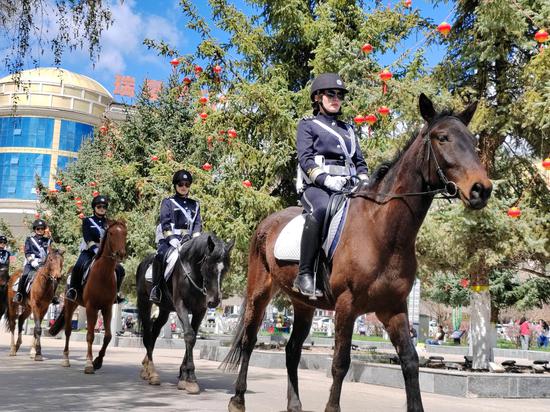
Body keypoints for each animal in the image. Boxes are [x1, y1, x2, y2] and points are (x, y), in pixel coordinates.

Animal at [48, 220, 127, 374]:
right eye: (111, 233)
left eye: (125, 233)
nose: (120, 253)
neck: (103, 274)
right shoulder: (92, 308)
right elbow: (90, 335)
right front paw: (89, 363)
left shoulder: (107, 308)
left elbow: (108, 336)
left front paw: (98, 361)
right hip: (70, 304)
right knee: (68, 331)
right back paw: (65, 359)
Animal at [138, 233, 235, 392]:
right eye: (209, 266)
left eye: (225, 269)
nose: (214, 301)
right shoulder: (181, 306)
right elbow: (189, 335)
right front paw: (190, 378)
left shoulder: (199, 311)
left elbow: (193, 337)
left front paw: (184, 375)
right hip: (144, 303)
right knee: (147, 334)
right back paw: (152, 373)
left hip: (165, 309)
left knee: (155, 331)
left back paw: (146, 368)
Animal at [222, 93, 494, 412]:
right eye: (443, 138)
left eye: (473, 142)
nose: (481, 189)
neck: (383, 231)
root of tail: (267, 223)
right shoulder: (346, 306)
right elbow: (340, 362)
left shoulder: (393, 308)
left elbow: (410, 362)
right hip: (259, 294)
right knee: (249, 340)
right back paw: (237, 399)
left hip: (303, 304)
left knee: (292, 349)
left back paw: (294, 404)